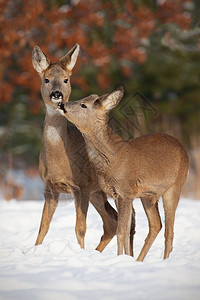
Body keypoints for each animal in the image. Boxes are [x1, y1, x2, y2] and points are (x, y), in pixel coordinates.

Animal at [32, 44, 136, 251]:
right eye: (46, 79)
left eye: (66, 79)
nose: (57, 94)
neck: (59, 161)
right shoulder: (49, 187)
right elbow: (43, 227)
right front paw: (34, 250)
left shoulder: (82, 186)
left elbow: (80, 228)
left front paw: (80, 252)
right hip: (98, 192)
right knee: (112, 222)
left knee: (125, 220)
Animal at [57, 86, 189, 260]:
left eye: (83, 105)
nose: (62, 104)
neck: (114, 158)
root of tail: (184, 150)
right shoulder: (117, 195)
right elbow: (126, 231)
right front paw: (126, 259)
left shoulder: (125, 192)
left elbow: (121, 232)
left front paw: (120, 258)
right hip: (148, 195)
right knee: (156, 224)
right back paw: (139, 260)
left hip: (174, 187)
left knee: (169, 230)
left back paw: (165, 261)